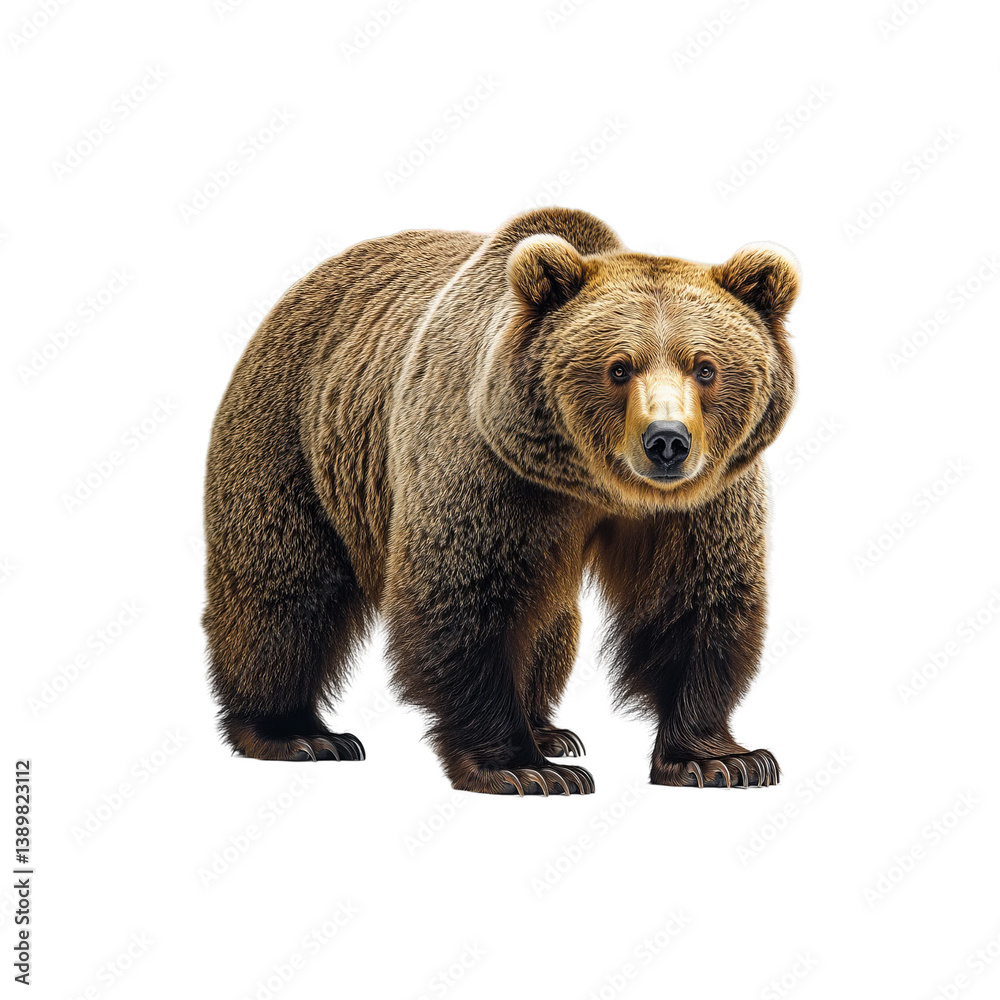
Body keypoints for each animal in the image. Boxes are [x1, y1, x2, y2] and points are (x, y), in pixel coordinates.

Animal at [203, 206, 798, 795]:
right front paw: (523, 769)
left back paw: (550, 729)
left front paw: (723, 761)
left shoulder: (700, 500)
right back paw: (295, 733)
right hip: (293, 435)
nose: (668, 441)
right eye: (619, 367)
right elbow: (466, 601)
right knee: (283, 587)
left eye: (705, 367)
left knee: (552, 624)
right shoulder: (489, 467)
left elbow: (694, 601)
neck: (593, 485)